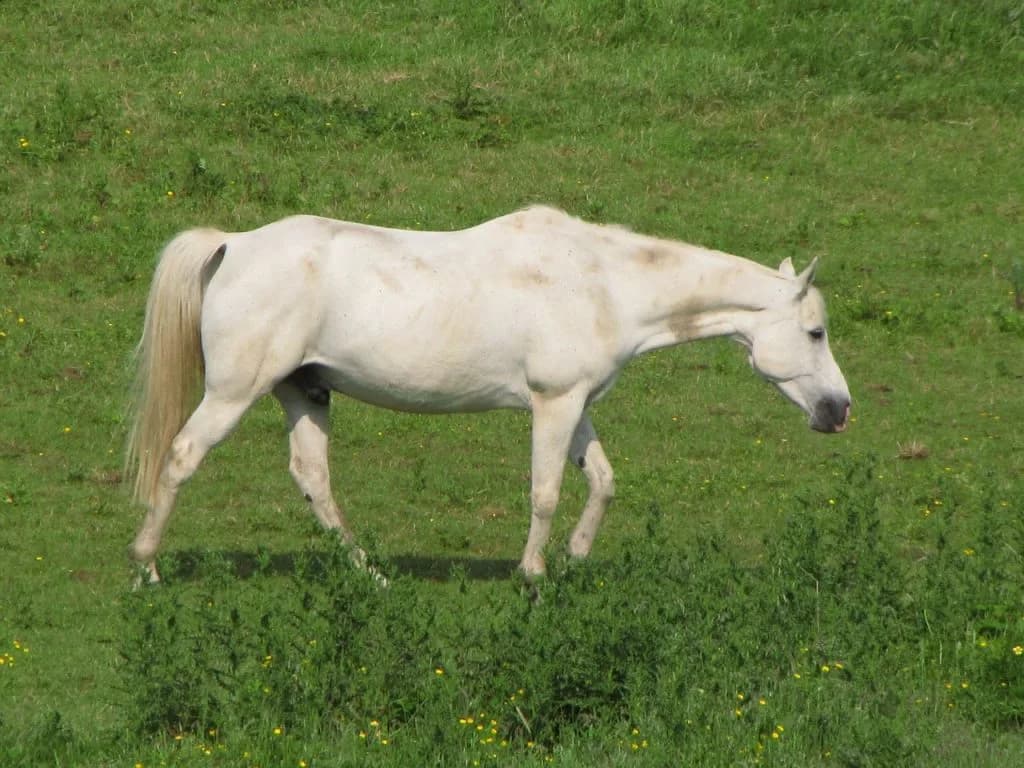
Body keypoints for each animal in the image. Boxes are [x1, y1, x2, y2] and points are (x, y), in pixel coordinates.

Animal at [126, 206, 850, 583]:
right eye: (815, 332)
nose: (839, 411)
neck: (603, 283)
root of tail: (232, 244)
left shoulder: (575, 404)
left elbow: (603, 482)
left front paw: (575, 558)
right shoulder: (553, 404)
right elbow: (546, 492)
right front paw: (532, 576)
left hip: (305, 393)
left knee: (313, 480)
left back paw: (372, 574)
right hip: (234, 392)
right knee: (182, 458)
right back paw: (147, 567)